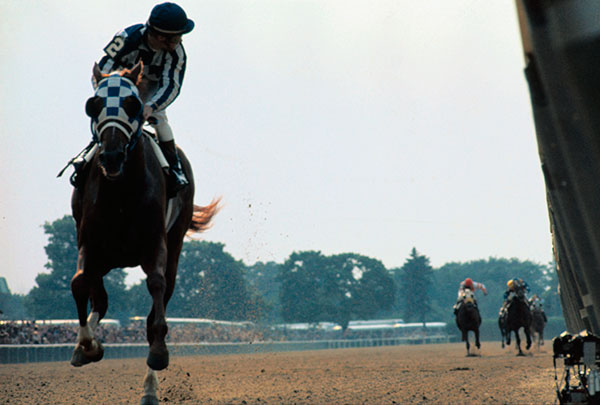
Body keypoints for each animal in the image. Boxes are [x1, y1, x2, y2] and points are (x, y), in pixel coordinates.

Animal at [69, 60, 218, 404]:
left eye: (132, 103)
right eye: (93, 104)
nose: (111, 156)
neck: (121, 192)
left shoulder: (155, 246)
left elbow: (155, 294)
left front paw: (159, 354)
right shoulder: (90, 244)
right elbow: (79, 283)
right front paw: (87, 347)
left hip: (174, 245)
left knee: (156, 299)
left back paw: (150, 389)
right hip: (107, 258)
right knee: (101, 299)